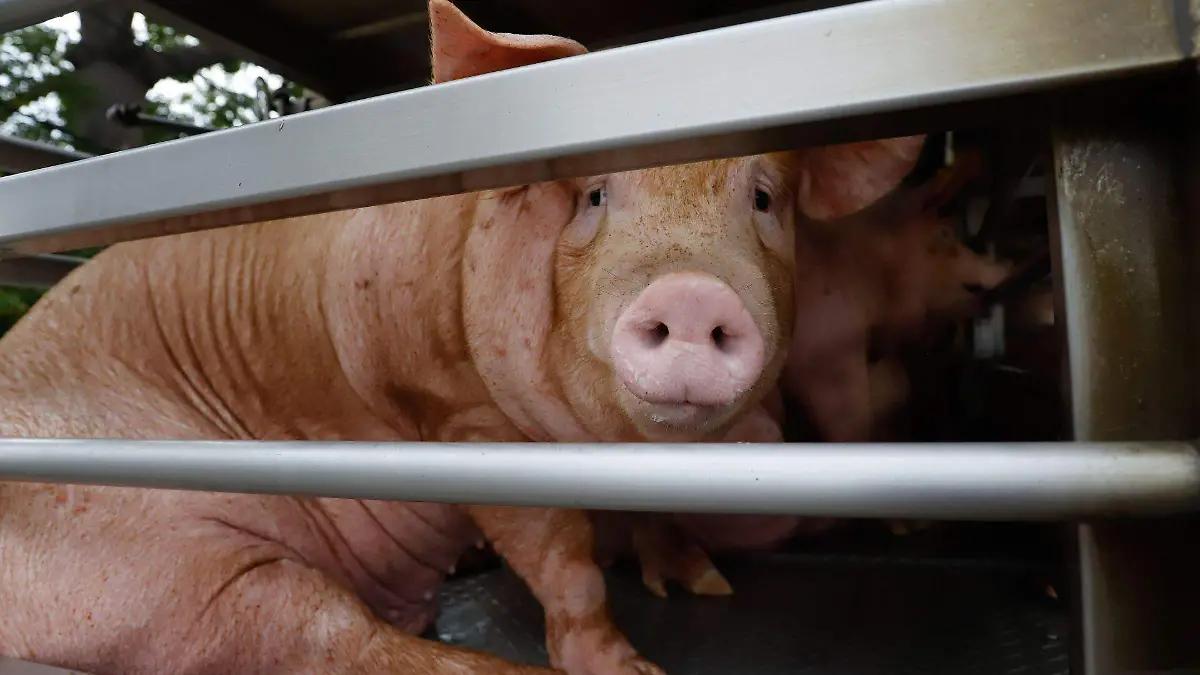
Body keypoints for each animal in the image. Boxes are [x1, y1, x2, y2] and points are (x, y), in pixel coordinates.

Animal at [0, 2, 922, 674]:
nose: (692, 291)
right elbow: (565, 564)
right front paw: (633, 667)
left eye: (763, 198)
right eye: (593, 195)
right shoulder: (462, 421)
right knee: (328, 632)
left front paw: (708, 586)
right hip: (144, 558)